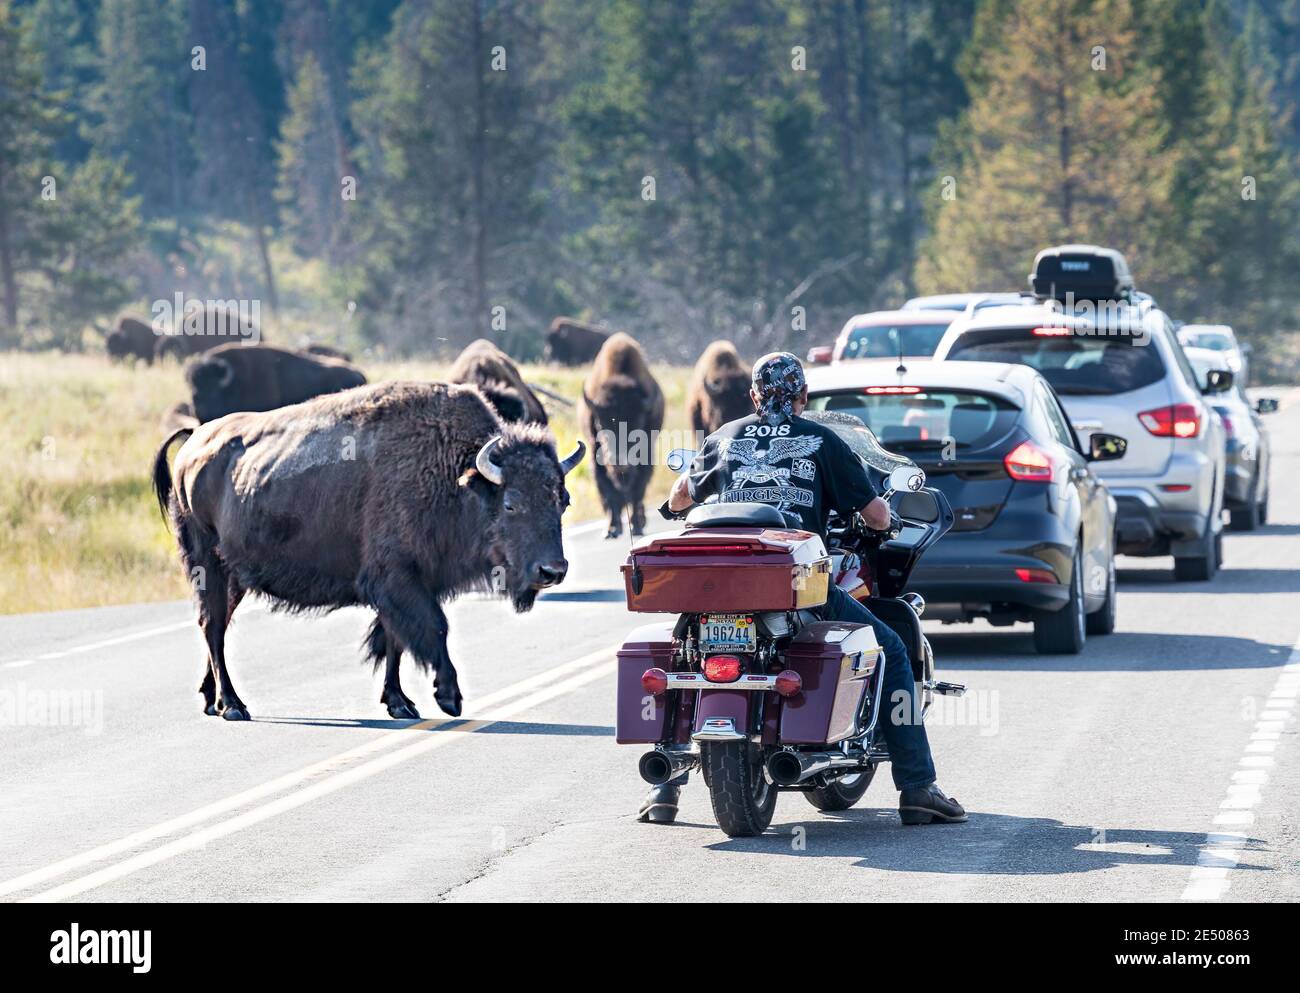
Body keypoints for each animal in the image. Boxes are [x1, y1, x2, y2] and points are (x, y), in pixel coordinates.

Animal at [148, 382, 590, 722]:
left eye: (563, 500)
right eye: (511, 503)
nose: (552, 570)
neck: (455, 473)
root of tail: (194, 443)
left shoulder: (414, 582)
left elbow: (395, 640)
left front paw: (401, 703)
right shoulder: (397, 579)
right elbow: (432, 628)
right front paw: (449, 698)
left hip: (234, 576)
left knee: (217, 626)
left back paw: (213, 700)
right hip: (207, 563)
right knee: (212, 625)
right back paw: (234, 706)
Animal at [579, 331, 660, 535]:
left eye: (638, 422)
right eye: (600, 423)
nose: (620, 462)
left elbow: (637, 490)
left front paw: (636, 526)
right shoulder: (596, 457)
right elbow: (609, 493)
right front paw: (612, 529)